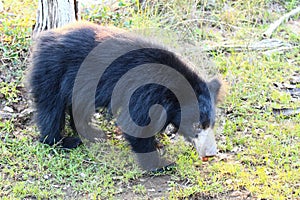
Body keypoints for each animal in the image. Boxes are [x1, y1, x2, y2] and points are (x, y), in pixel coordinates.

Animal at [26, 22, 223, 172]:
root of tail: (44, 38)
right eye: (196, 125)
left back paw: (92, 133)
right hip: (52, 73)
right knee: (51, 109)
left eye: (211, 124)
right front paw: (160, 164)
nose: (211, 153)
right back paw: (62, 141)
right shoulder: (144, 94)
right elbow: (136, 125)